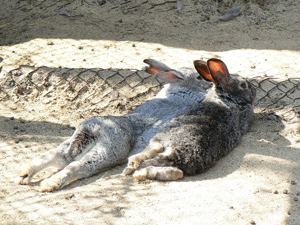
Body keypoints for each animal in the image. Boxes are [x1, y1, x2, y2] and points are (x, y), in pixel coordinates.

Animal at [15, 58, 212, 192]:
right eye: (198, 76)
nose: (210, 82)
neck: (185, 88)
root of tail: (93, 128)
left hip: (73, 143)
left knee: (55, 156)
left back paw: (24, 175)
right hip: (109, 150)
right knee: (75, 166)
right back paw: (49, 184)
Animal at [123, 58, 256, 181]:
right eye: (243, 85)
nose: (255, 89)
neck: (228, 97)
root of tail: (177, 153)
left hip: (160, 140)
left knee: (166, 163)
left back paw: (136, 169)